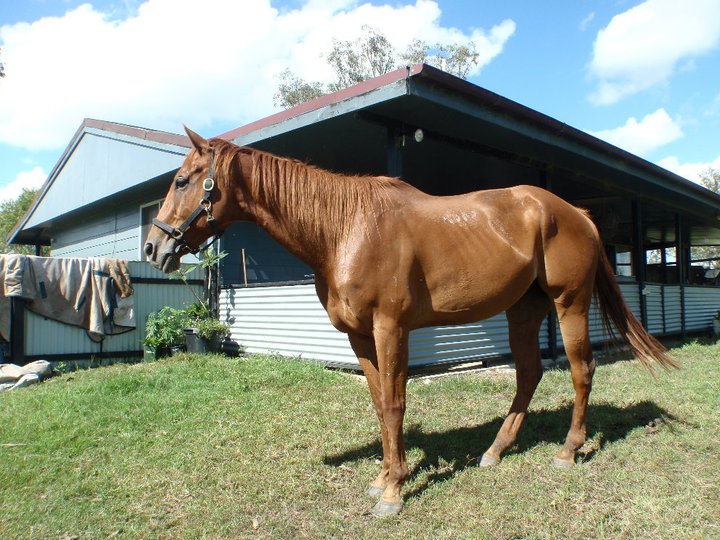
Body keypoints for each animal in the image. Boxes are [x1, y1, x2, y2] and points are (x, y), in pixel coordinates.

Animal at [144, 127, 677, 517]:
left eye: (183, 180)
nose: (153, 247)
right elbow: (381, 405)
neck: (346, 229)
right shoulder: (360, 338)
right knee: (528, 374)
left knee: (581, 371)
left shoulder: (390, 329)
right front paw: (384, 476)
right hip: (524, 310)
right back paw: (495, 451)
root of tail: (579, 214)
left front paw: (393, 494)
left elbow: (397, 404)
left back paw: (567, 451)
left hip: (569, 304)